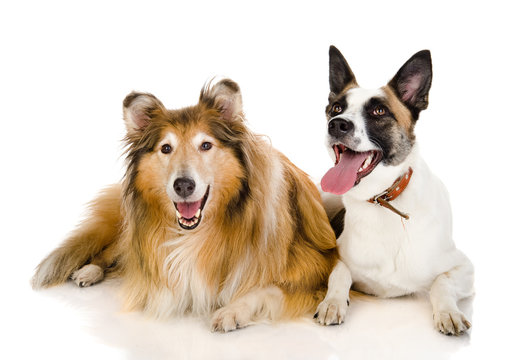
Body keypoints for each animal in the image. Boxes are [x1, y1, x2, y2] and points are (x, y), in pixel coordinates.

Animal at [33, 79, 338, 332]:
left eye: (205, 145)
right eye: (166, 148)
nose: (183, 186)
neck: (200, 232)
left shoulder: (314, 266)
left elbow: (265, 289)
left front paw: (232, 311)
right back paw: (89, 270)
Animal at [312, 46, 474, 336]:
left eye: (379, 111)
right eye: (337, 108)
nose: (337, 124)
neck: (382, 200)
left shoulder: (464, 267)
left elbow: (441, 282)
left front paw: (448, 312)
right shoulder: (337, 258)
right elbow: (340, 273)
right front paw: (332, 302)